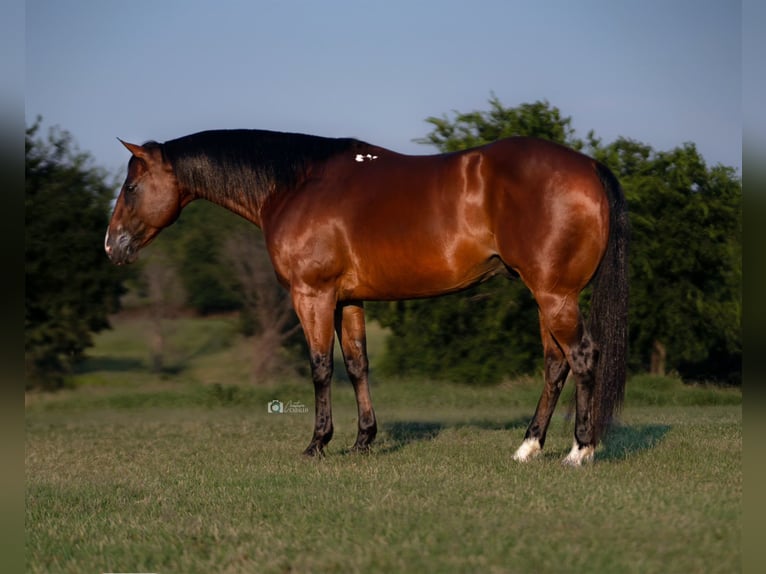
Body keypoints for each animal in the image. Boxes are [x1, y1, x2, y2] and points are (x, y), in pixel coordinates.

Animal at [103, 130, 632, 468]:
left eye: (131, 186)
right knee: (555, 364)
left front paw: (317, 445)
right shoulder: (347, 300)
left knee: (582, 356)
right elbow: (357, 365)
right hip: (548, 294)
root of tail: (588, 165)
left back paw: (579, 451)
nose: (112, 247)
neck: (296, 184)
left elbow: (320, 367)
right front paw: (362, 442)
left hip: (554, 294)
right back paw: (528, 448)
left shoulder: (312, 295)